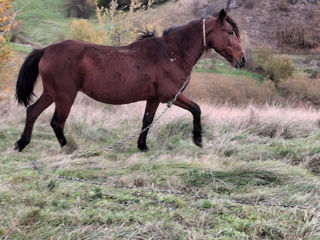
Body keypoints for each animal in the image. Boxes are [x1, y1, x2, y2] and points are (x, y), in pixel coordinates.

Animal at [14, 9, 245, 152]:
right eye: (229, 32)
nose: (242, 60)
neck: (171, 53)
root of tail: (46, 50)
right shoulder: (170, 95)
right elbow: (196, 109)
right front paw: (197, 139)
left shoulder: (154, 98)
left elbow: (147, 121)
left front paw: (142, 146)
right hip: (64, 96)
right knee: (56, 122)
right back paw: (69, 148)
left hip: (51, 93)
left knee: (32, 112)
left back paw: (21, 143)